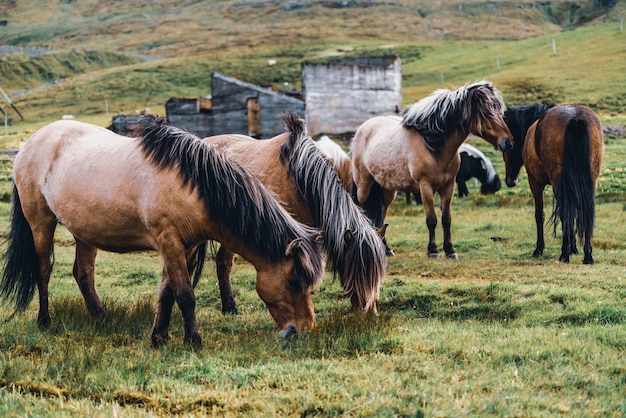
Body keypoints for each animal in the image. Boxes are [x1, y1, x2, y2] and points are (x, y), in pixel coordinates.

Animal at [2, 114, 326, 346]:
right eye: (293, 282)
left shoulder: (186, 246)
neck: (193, 184)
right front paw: (193, 340)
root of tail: (30, 144)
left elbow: (167, 293)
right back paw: (45, 321)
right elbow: (185, 294)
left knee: (83, 274)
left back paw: (102, 318)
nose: (306, 328)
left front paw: (159, 337)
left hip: (84, 232)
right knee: (43, 270)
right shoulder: (168, 241)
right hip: (40, 222)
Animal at [352, 79, 512, 258]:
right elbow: (432, 219)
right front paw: (433, 251)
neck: (432, 146)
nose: (508, 142)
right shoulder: (425, 187)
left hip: (387, 189)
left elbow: (446, 219)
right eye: (486, 113)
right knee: (363, 210)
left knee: (382, 216)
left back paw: (386, 249)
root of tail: (361, 130)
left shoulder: (449, 186)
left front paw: (450, 251)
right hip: (364, 185)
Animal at [500, 103, 604, 262]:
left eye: (507, 148)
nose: (510, 180)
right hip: (590, 181)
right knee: (585, 212)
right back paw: (587, 255)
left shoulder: (535, 182)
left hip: (558, 183)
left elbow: (539, 215)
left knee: (565, 213)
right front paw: (574, 248)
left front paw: (539, 249)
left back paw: (564, 255)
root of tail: (575, 117)